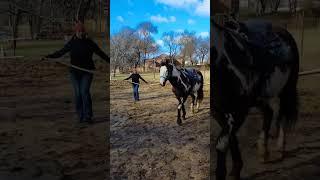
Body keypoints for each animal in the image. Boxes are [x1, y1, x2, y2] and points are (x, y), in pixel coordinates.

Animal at [211, 18, 298, 180]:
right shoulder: (219, 111)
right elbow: (231, 139)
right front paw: (236, 169)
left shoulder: (239, 110)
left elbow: (222, 144)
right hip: (259, 97)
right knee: (269, 113)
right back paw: (263, 152)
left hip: (286, 89)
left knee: (281, 114)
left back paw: (279, 148)